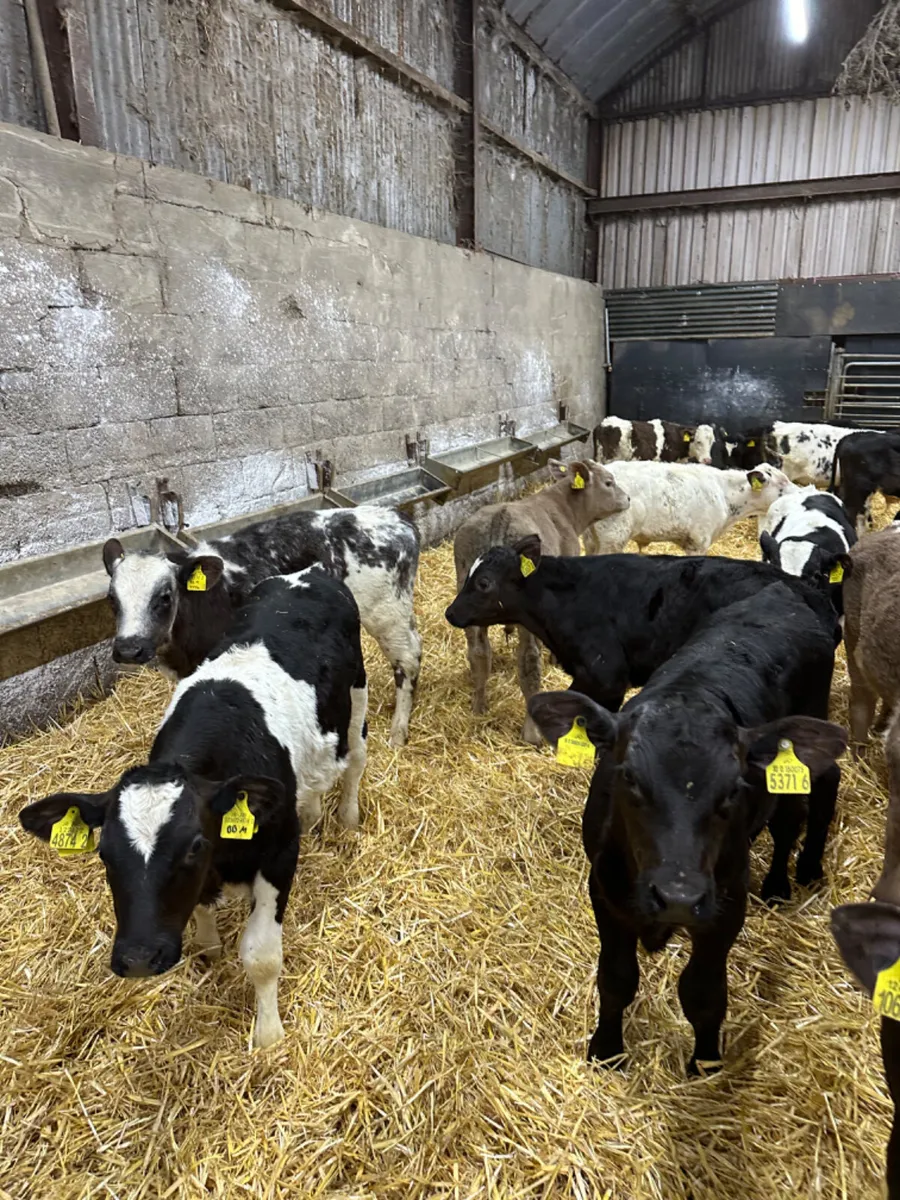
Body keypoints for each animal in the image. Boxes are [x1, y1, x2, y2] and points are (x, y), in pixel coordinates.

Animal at [19, 567, 368, 1048]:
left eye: (194, 847)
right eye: (104, 853)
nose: (140, 958)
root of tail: (307, 572)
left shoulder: (279, 851)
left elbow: (261, 955)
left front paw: (269, 1035)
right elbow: (203, 913)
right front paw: (209, 946)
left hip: (358, 693)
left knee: (355, 760)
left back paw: (347, 818)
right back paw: (314, 811)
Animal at [103, 505, 420, 746]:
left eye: (165, 597)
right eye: (111, 599)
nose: (129, 649)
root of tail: (395, 517)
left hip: (387, 613)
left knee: (408, 660)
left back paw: (398, 732)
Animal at [452, 459, 629, 744]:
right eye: (608, 482)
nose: (628, 499)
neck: (564, 510)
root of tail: (500, 517)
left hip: (466, 596)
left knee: (478, 654)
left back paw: (478, 707)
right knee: (528, 661)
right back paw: (532, 733)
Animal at [527, 582, 846, 1072]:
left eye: (733, 788)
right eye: (627, 777)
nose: (678, 897)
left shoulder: (725, 905)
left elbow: (703, 993)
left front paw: (705, 1065)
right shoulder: (604, 890)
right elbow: (615, 979)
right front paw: (606, 1049)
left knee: (795, 815)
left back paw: (783, 882)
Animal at [582, 461, 795, 556]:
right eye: (782, 484)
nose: (799, 492)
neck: (725, 493)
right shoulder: (698, 542)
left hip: (591, 540)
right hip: (612, 538)